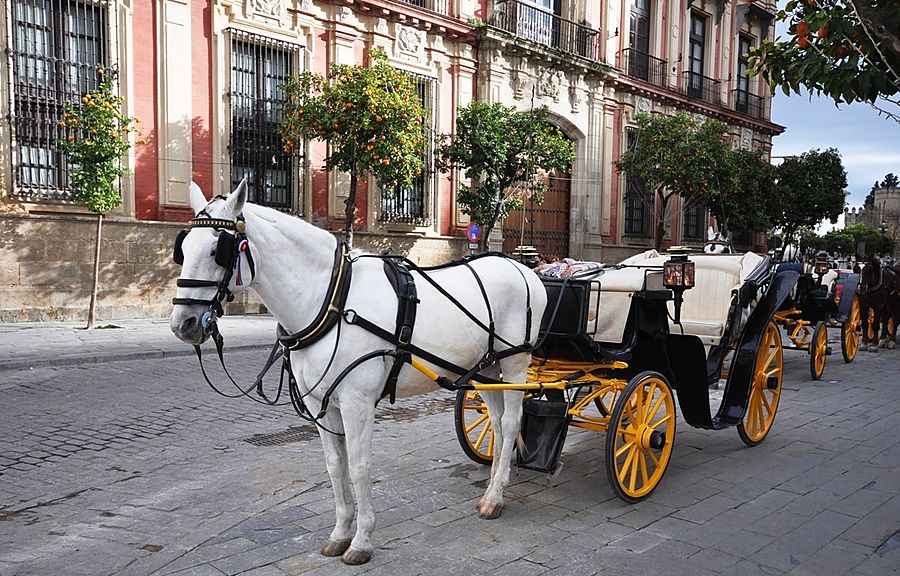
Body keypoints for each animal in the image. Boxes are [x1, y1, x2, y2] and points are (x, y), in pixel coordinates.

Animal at [171, 182, 548, 564]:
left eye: (217, 249)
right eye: (183, 248)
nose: (183, 324)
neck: (332, 301)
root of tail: (521, 267)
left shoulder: (357, 402)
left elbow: (359, 466)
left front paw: (362, 540)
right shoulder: (320, 403)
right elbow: (336, 467)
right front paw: (340, 533)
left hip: (514, 364)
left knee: (511, 422)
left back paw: (496, 496)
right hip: (483, 369)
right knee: (496, 425)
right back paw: (492, 489)